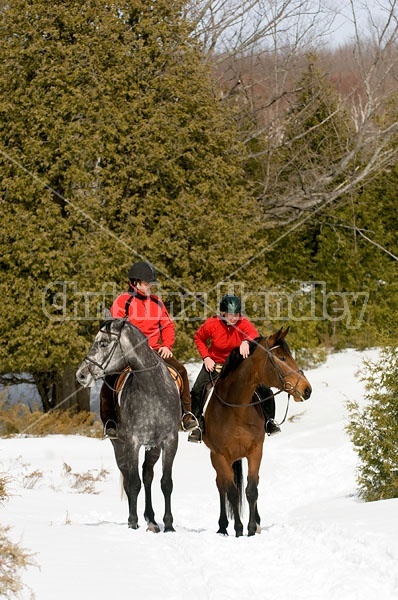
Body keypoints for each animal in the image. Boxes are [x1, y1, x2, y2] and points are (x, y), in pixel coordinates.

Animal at [75, 322, 180, 532]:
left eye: (103, 342)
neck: (152, 389)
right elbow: (133, 484)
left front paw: (169, 525)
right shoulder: (132, 442)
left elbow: (166, 483)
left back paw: (151, 519)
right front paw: (132, 522)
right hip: (120, 447)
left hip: (153, 447)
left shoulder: (170, 441)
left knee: (148, 475)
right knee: (129, 477)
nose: (81, 375)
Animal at [204, 328, 312, 540]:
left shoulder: (256, 451)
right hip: (216, 459)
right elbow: (232, 492)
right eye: (281, 358)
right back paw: (222, 527)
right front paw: (238, 530)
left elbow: (252, 490)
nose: (307, 389)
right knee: (221, 485)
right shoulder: (221, 455)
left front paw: (252, 529)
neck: (235, 408)